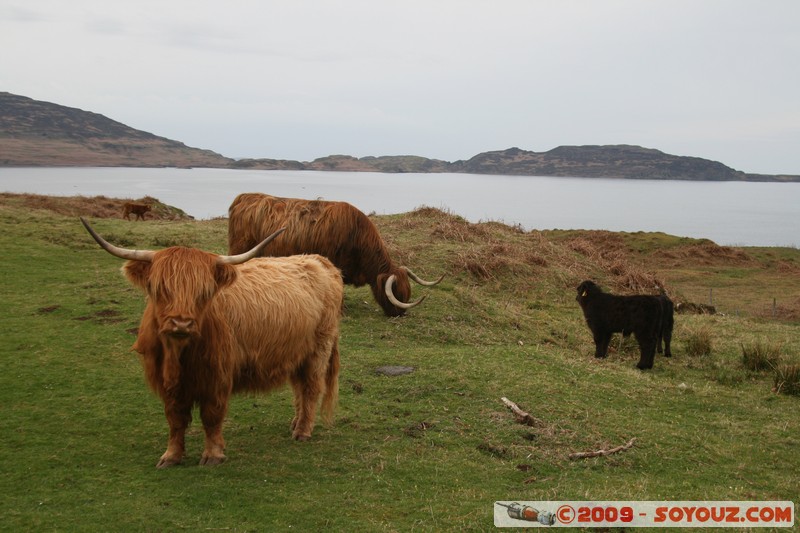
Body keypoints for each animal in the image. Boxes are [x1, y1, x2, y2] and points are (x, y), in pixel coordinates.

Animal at [79, 216, 344, 466]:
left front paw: (213, 455)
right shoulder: (167, 381)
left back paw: (303, 431)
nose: (181, 323)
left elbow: (211, 415)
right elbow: (175, 418)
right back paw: (295, 422)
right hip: (296, 352)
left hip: (319, 348)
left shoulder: (217, 375)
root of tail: (320, 260)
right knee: (299, 387)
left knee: (311, 387)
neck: (179, 355)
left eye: (203, 291)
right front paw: (171, 456)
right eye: (160, 287)